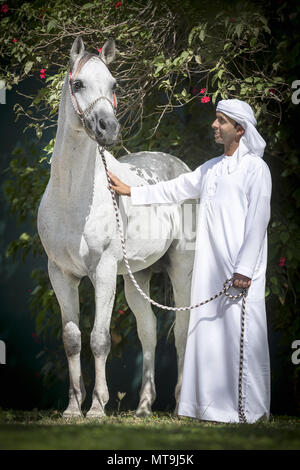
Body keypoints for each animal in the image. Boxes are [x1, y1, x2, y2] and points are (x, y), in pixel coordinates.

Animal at [37, 37, 196, 418]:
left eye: (114, 85)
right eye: (78, 84)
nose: (108, 128)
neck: (73, 198)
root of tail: (178, 166)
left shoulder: (104, 271)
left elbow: (99, 338)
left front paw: (97, 407)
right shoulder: (60, 273)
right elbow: (72, 339)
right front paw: (72, 408)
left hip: (181, 267)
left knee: (181, 330)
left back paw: (180, 405)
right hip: (138, 275)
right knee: (149, 329)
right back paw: (144, 406)